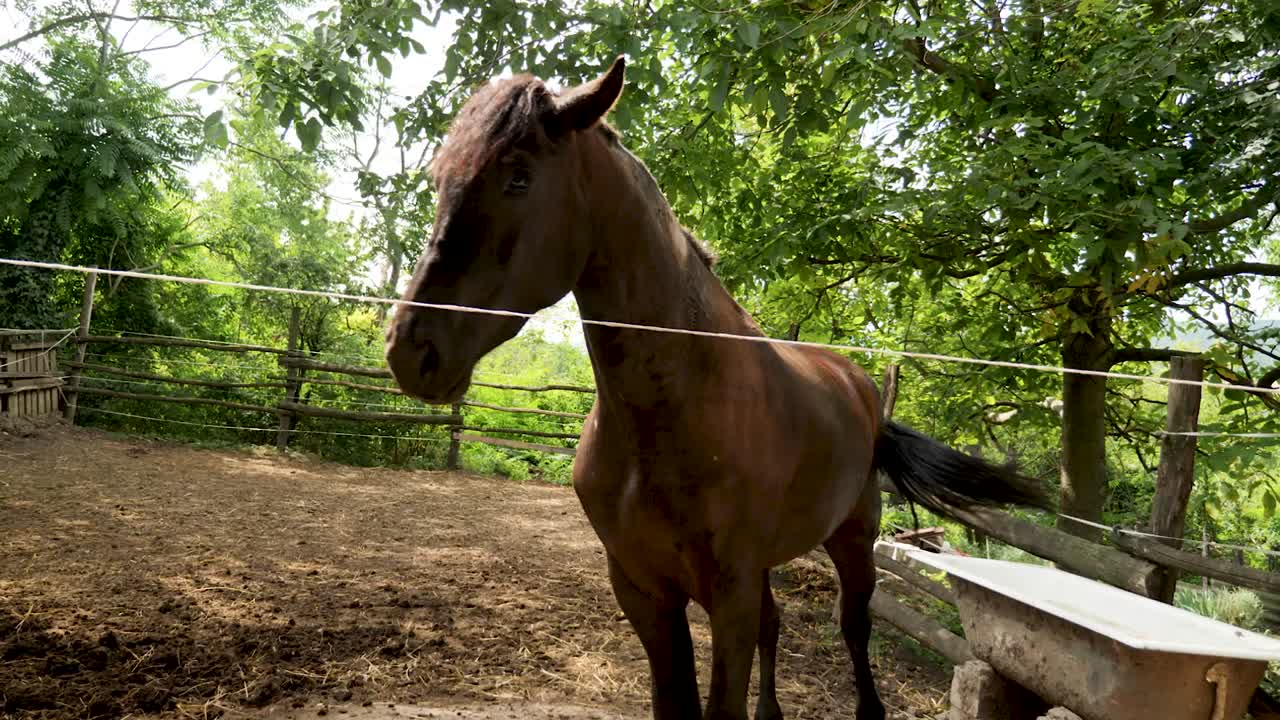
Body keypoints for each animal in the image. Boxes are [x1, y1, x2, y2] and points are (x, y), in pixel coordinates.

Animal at [385, 56, 1049, 720]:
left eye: (518, 179)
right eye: (441, 180)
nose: (409, 350)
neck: (675, 409)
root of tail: (861, 387)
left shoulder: (729, 593)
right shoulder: (644, 591)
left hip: (853, 540)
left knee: (853, 628)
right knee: (775, 626)